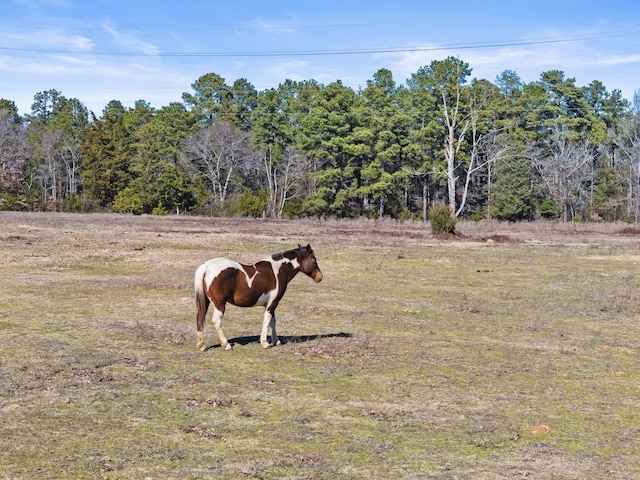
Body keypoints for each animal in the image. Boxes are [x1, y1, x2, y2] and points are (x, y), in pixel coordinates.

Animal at [192, 246, 322, 350]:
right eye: (314, 260)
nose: (320, 277)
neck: (278, 270)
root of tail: (207, 266)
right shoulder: (272, 303)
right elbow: (267, 320)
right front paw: (265, 343)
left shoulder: (271, 304)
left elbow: (273, 321)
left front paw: (276, 341)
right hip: (219, 304)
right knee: (216, 321)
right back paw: (226, 345)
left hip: (206, 301)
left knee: (200, 318)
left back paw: (201, 345)